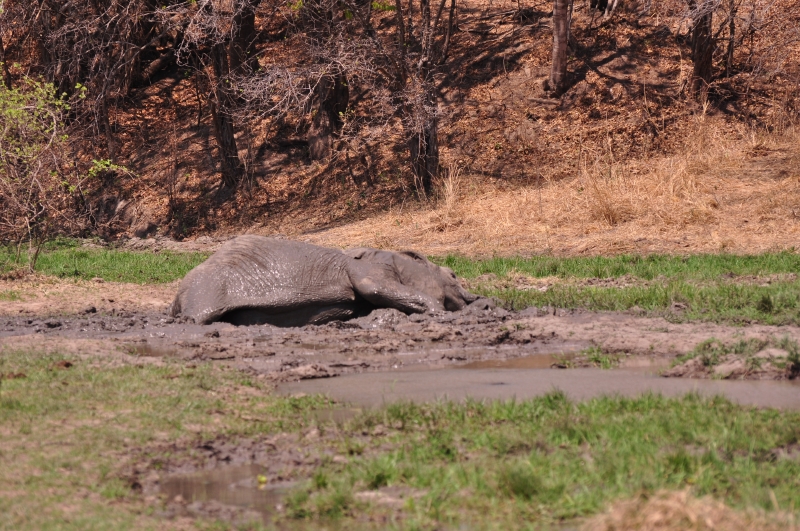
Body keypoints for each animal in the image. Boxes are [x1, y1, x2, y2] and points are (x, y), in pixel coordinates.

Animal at [169, 235, 484, 327]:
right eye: (453, 275)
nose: (480, 301)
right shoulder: (369, 267)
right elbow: (374, 287)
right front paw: (439, 313)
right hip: (208, 287)